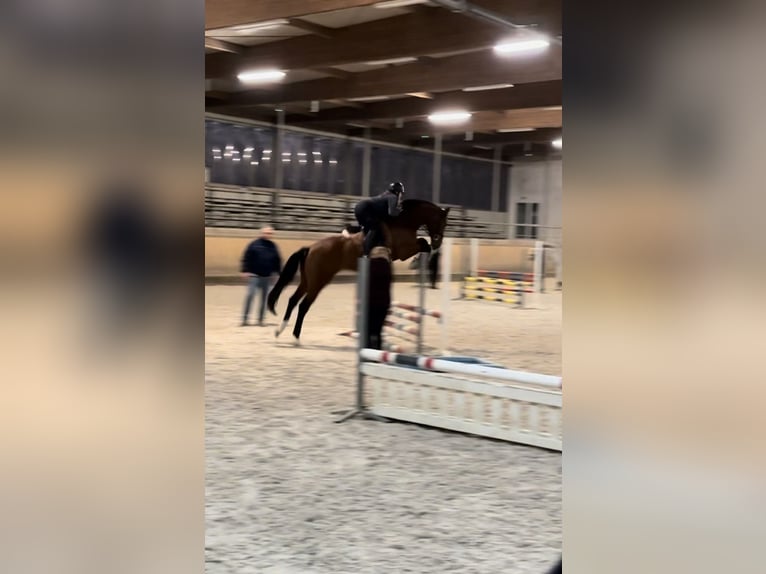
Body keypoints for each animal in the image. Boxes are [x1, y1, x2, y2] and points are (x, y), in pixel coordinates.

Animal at [267, 199, 450, 342]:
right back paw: (295, 336)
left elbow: (423, 244)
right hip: (319, 281)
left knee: (292, 300)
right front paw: (421, 258)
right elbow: (423, 244)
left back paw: (279, 330)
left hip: (307, 280)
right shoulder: (404, 251)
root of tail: (310, 248)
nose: (438, 242)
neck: (404, 222)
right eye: (442, 222)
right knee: (303, 305)